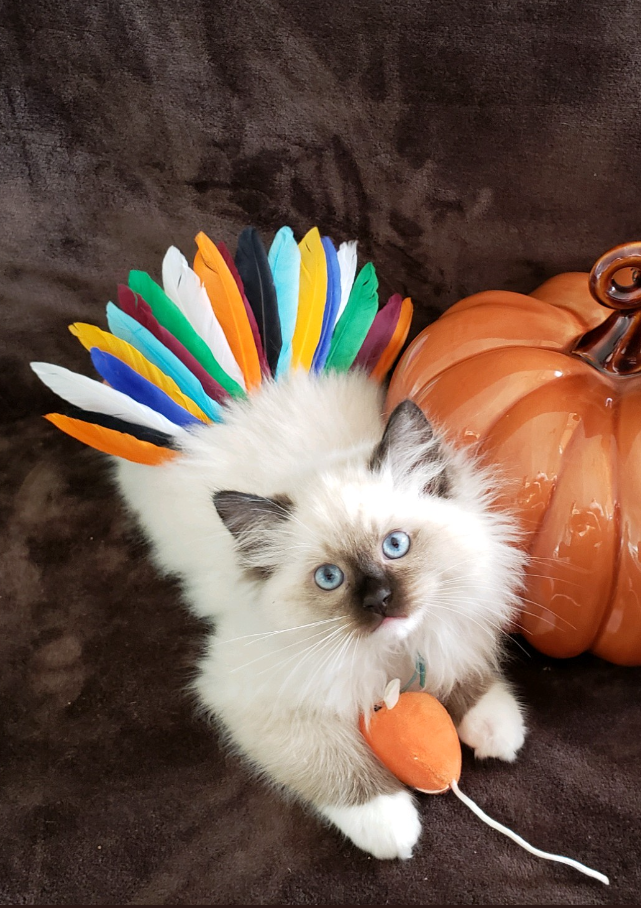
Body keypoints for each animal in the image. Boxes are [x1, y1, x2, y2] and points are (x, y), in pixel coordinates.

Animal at [115, 368, 524, 860]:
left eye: (395, 545)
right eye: (330, 578)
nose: (379, 600)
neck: (394, 654)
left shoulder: (455, 623)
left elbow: (467, 670)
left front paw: (497, 730)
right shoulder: (251, 697)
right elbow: (336, 764)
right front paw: (391, 825)